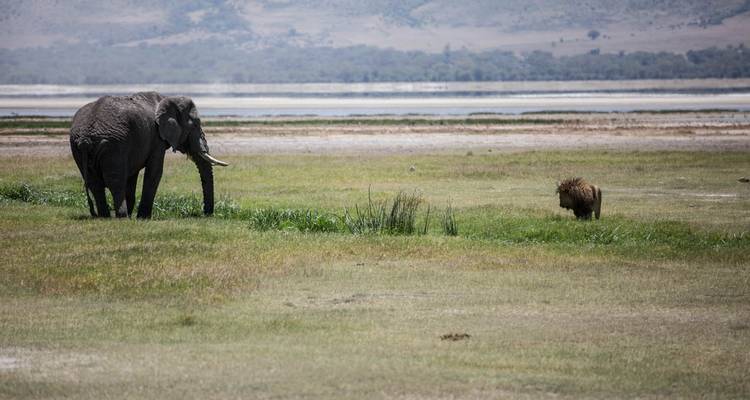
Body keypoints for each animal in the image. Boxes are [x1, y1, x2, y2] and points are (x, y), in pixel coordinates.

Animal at [69, 92, 228, 218]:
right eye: (195, 125)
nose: (206, 214)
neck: (167, 99)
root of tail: (85, 139)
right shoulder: (156, 139)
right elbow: (155, 172)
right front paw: (143, 217)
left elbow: (132, 177)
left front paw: (136, 215)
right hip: (112, 145)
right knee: (115, 181)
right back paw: (122, 217)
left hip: (78, 148)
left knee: (94, 183)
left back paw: (105, 216)